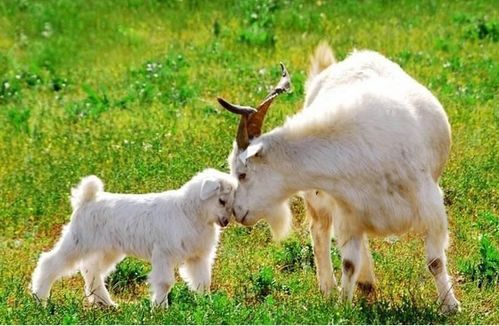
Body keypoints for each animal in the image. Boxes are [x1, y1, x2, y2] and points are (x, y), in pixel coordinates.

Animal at [218, 44, 460, 314]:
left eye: (243, 174)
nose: (236, 213)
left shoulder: (430, 206)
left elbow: (435, 261)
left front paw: (450, 305)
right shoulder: (347, 211)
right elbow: (348, 263)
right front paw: (343, 305)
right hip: (322, 201)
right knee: (319, 232)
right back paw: (334, 287)